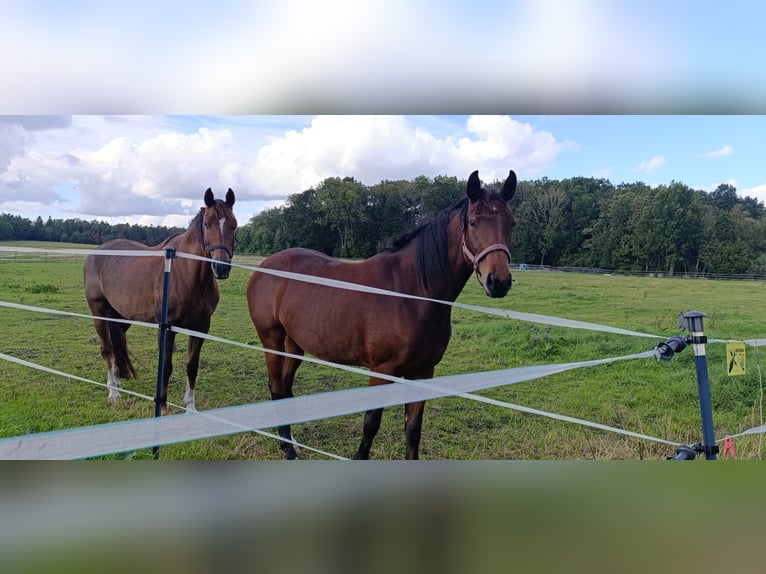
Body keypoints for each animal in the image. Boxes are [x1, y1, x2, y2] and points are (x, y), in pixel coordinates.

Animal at [84, 188, 237, 416]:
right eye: (207, 223)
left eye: (234, 224)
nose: (221, 267)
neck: (186, 273)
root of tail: (97, 252)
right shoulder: (167, 327)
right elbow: (166, 366)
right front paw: (163, 409)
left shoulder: (201, 326)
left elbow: (192, 366)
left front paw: (190, 407)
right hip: (99, 313)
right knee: (107, 349)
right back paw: (113, 394)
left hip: (121, 318)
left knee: (116, 346)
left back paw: (117, 384)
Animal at [246, 170, 517, 459]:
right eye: (474, 222)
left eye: (511, 223)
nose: (499, 281)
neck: (412, 293)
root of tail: (266, 265)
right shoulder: (382, 370)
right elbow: (371, 423)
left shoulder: (423, 372)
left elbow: (413, 430)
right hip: (271, 339)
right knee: (277, 388)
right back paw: (289, 449)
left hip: (295, 343)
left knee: (285, 387)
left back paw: (289, 442)